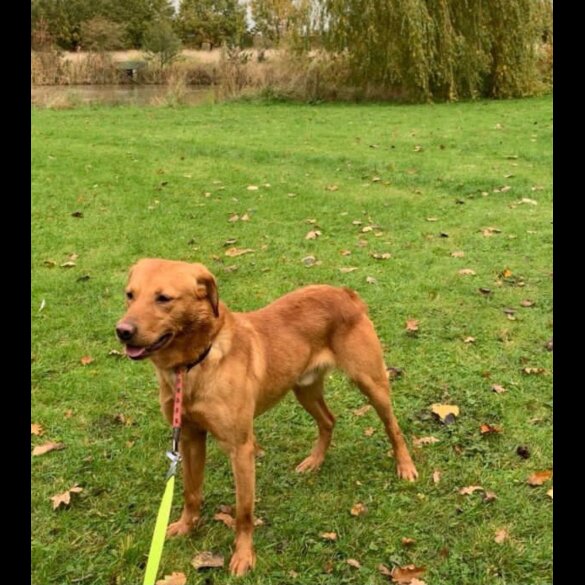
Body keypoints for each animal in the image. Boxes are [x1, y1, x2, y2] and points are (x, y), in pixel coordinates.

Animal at [115, 258, 416, 576]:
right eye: (130, 295)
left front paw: (244, 555)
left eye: (163, 298)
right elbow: (191, 491)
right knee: (329, 420)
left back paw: (405, 466)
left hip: (372, 384)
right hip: (304, 389)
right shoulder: (190, 437)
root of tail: (344, 293)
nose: (122, 331)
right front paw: (187, 526)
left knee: (393, 427)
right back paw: (314, 461)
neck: (193, 365)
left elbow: (244, 512)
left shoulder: (240, 449)